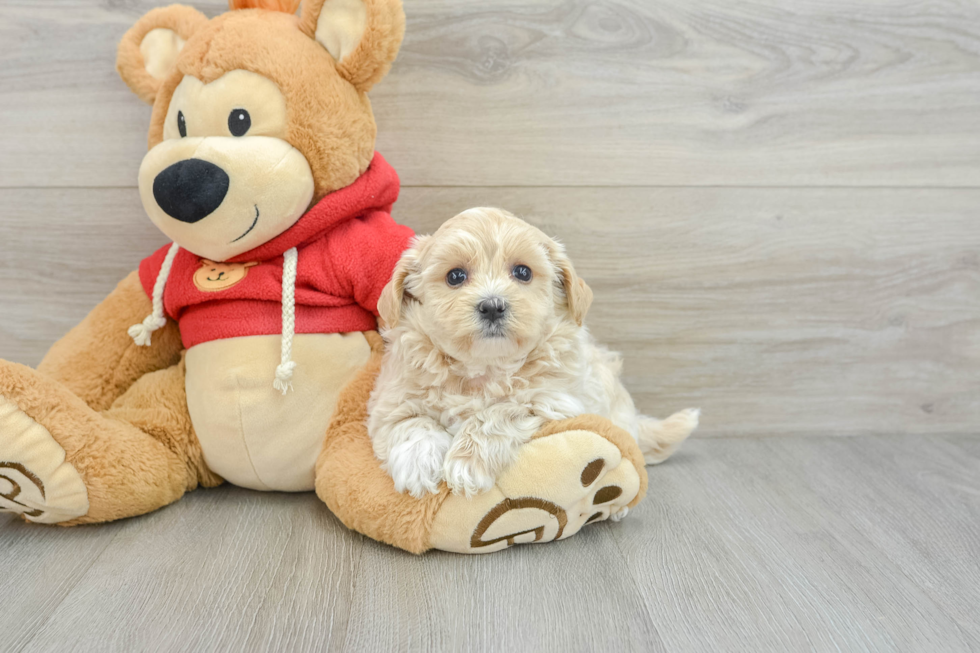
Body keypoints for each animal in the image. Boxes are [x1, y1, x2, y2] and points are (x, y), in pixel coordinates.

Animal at [366, 206, 696, 496]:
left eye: (523, 272)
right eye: (455, 276)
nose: (492, 306)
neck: (485, 367)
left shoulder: (555, 400)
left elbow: (500, 411)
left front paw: (467, 463)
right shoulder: (389, 402)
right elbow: (412, 422)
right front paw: (418, 465)